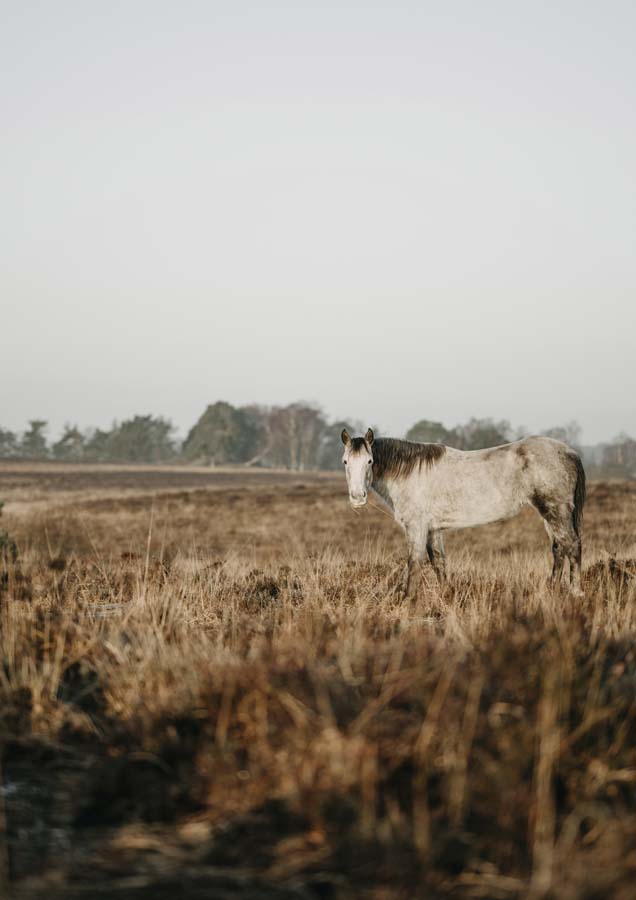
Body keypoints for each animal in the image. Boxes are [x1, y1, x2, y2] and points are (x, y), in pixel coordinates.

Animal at [342, 428, 588, 596]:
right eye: (345, 462)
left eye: (370, 461)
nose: (357, 497)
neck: (410, 473)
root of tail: (570, 452)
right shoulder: (433, 529)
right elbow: (438, 562)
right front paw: (446, 595)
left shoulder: (417, 527)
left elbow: (413, 563)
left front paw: (407, 599)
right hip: (549, 513)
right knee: (558, 548)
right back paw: (552, 588)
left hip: (557, 510)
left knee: (572, 545)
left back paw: (576, 592)